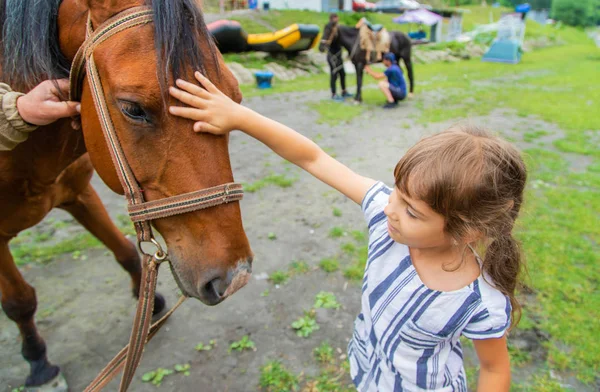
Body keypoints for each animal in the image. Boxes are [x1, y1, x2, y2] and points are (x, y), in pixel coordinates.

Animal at [0, 0, 253, 388]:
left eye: (235, 97)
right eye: (133, 108)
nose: (235, 276)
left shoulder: (79, 193)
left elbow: (125, 252)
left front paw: (151, 304)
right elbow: (19, 301)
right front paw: (39, 363)